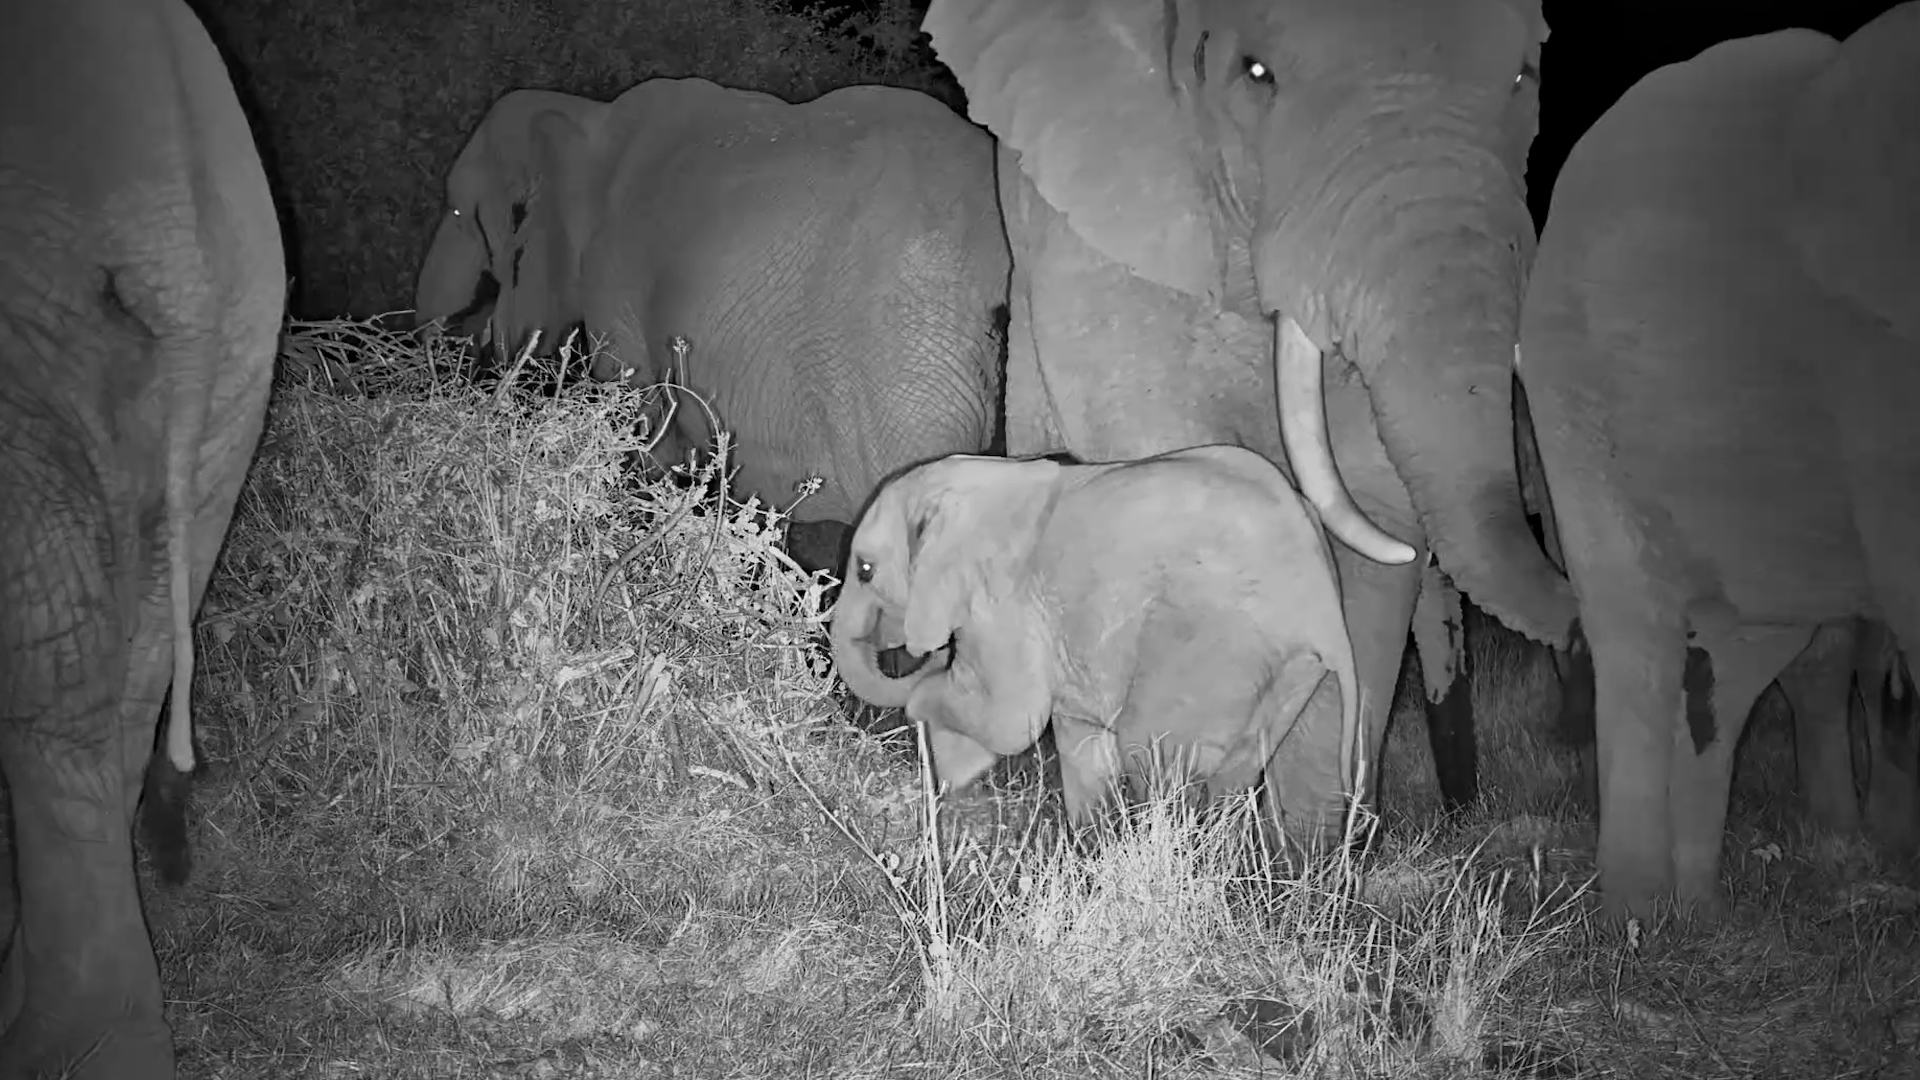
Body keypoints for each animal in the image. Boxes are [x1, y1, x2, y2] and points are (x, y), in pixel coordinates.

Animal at [830, 446, 1360, 845]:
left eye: (865, 570)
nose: (929, 654)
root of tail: (1325, 610)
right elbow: (1069, 737)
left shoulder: (1004, 601)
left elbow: (1011, 720)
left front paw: (922, 712)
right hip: (1289, 674)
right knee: (1238, 773)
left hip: (1209, 644)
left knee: (1155, 759)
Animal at [918, 0, 1580, 830]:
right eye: (1256, 74)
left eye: (1524, 75)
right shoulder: (1107, 238)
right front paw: (1177, 841)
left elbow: (1367, 528)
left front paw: (1305, 862)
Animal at [1517, 3, 1920, 920]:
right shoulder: (1871, 359)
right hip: (1574, 396)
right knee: (1638, 631)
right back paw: (1638, 920)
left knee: (1738, 662)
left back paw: (1694, 910)